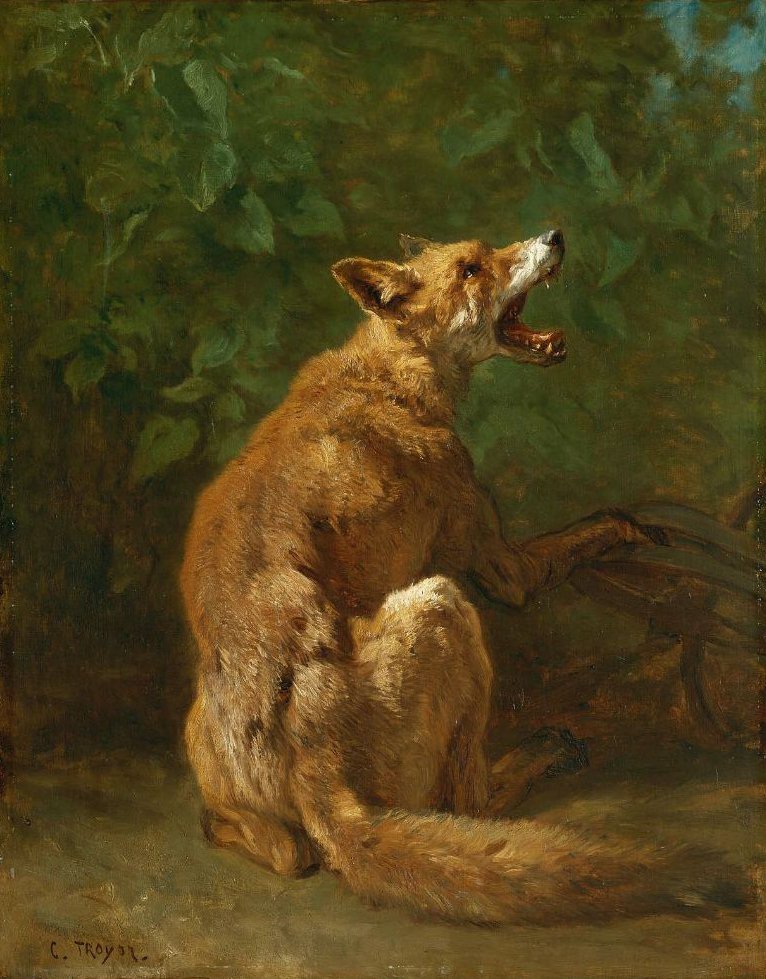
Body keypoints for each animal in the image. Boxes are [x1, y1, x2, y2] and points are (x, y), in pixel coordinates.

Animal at [181, 230, 738, 925]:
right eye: (472, 269)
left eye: (488, 249)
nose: (555, 235)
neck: (392, 378)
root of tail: (315, 767)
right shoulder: (502, 566)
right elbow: (595, 529)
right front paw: (640, 530)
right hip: (445, 607)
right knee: (469, 802)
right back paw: (545, 753)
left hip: (209, 742)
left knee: (286, 852)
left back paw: (229, 830)